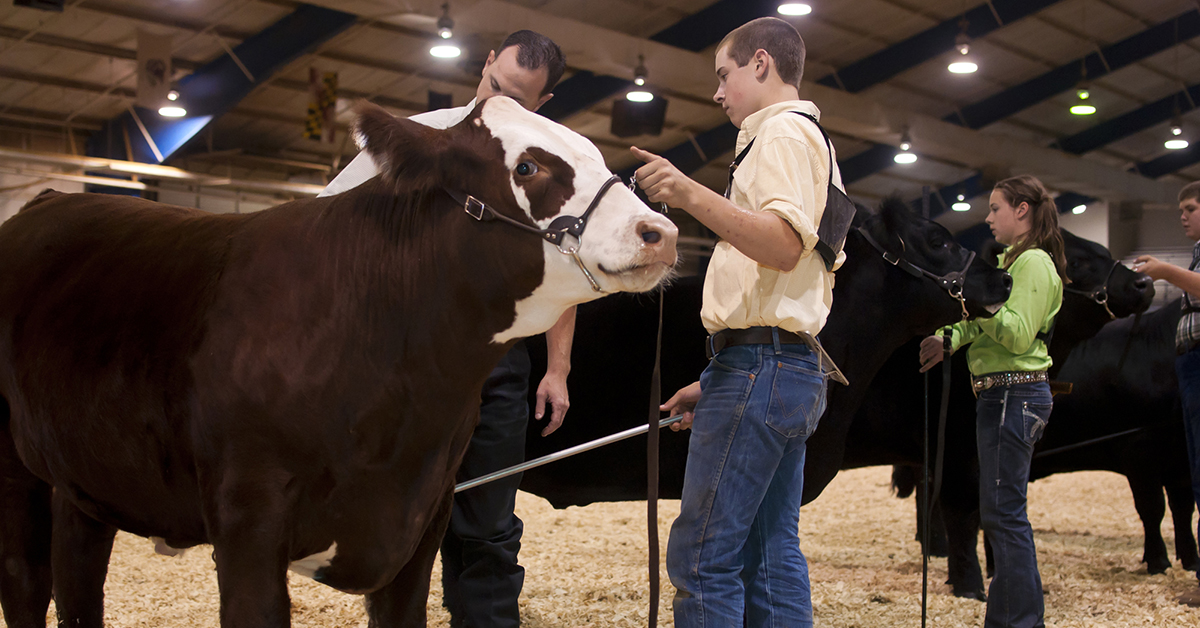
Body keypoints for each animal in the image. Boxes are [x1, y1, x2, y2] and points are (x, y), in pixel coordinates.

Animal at [0, 98, 676, 628]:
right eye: (528, 166)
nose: (660, 232)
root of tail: (48, 200)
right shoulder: (246, 517)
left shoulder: (423, 518)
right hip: (16, 470)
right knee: (28, 585)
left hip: (86, 481)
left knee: (77, 583)